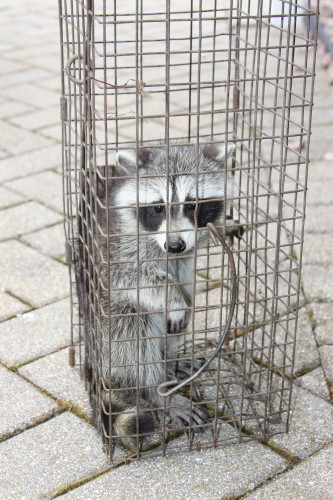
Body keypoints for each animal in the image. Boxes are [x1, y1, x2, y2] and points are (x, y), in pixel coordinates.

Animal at [79, 141, 243, 450]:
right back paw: (157, 390)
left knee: (180, 313)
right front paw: (172, 300)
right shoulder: (118, 246)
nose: (176, 246)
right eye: (157, 207)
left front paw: (223, 226)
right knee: (136, 334)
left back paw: (170, 360)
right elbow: (132, 277)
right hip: (107, 323)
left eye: (192, 205)